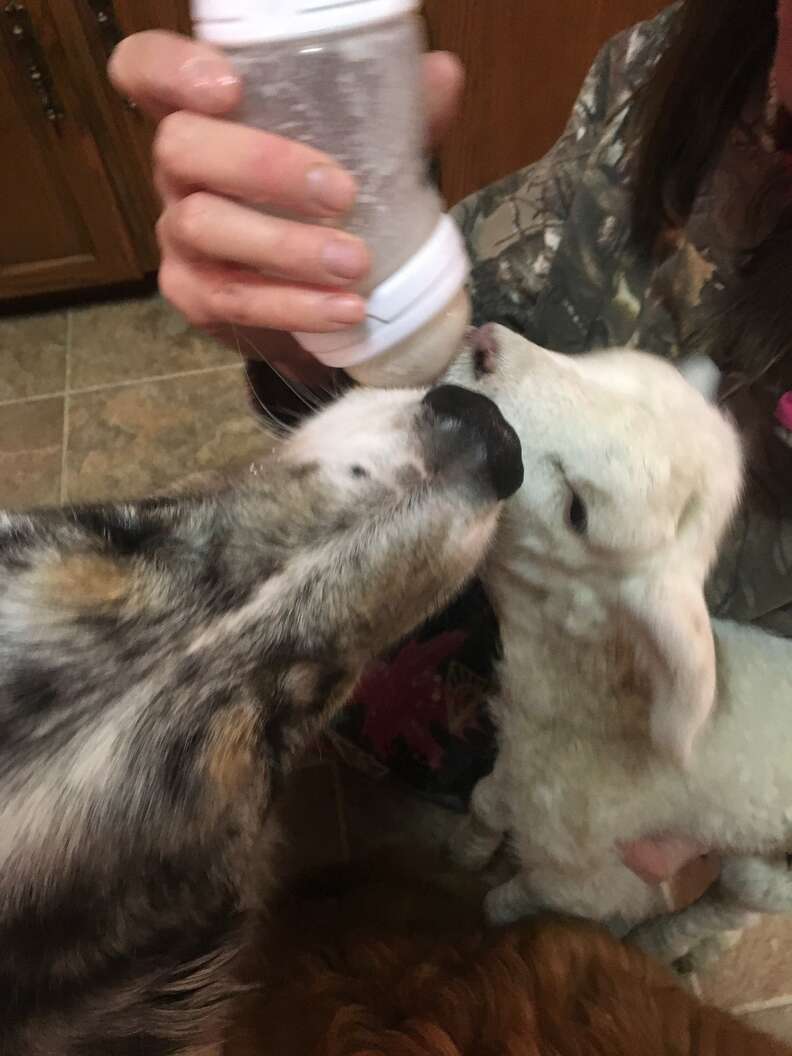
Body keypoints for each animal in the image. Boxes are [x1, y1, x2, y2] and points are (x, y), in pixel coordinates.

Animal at [447, 321, 792, 967]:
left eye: (577, 512)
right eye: (597, 364)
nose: (483, 348)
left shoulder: (589, 871)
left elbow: (532, 894)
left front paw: (489, 911)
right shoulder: (524, 765)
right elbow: (484, 801)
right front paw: (465, 852)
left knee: (733, 904)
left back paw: (667, 944)